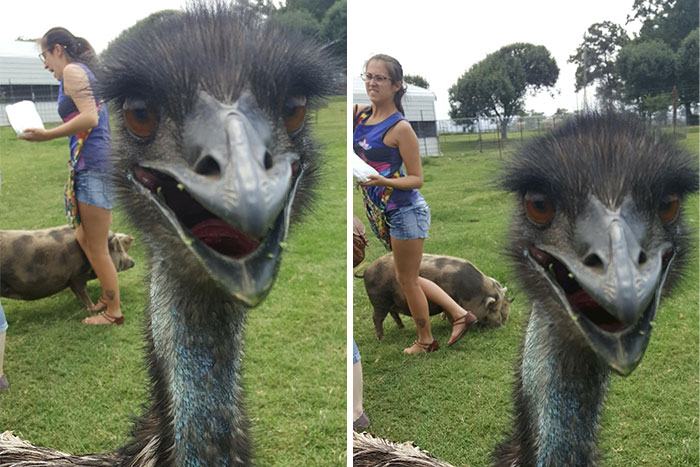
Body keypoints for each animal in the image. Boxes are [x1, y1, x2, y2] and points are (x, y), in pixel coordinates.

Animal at [0, 226, 135, 310]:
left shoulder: (71, 278)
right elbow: (82, 290)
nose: (133, 262)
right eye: (119, 249)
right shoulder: (78, 274)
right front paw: (92, 307)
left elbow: (76, 291)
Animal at [362, 253, 512, 340]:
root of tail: (367, 270)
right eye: (492, 309)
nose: (500, 325)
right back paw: (381, 339)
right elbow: (451, 316)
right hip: (379, 300)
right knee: (377, 318)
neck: (473, 293)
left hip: (389, 302)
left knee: (393, 314)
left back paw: (402, 327)